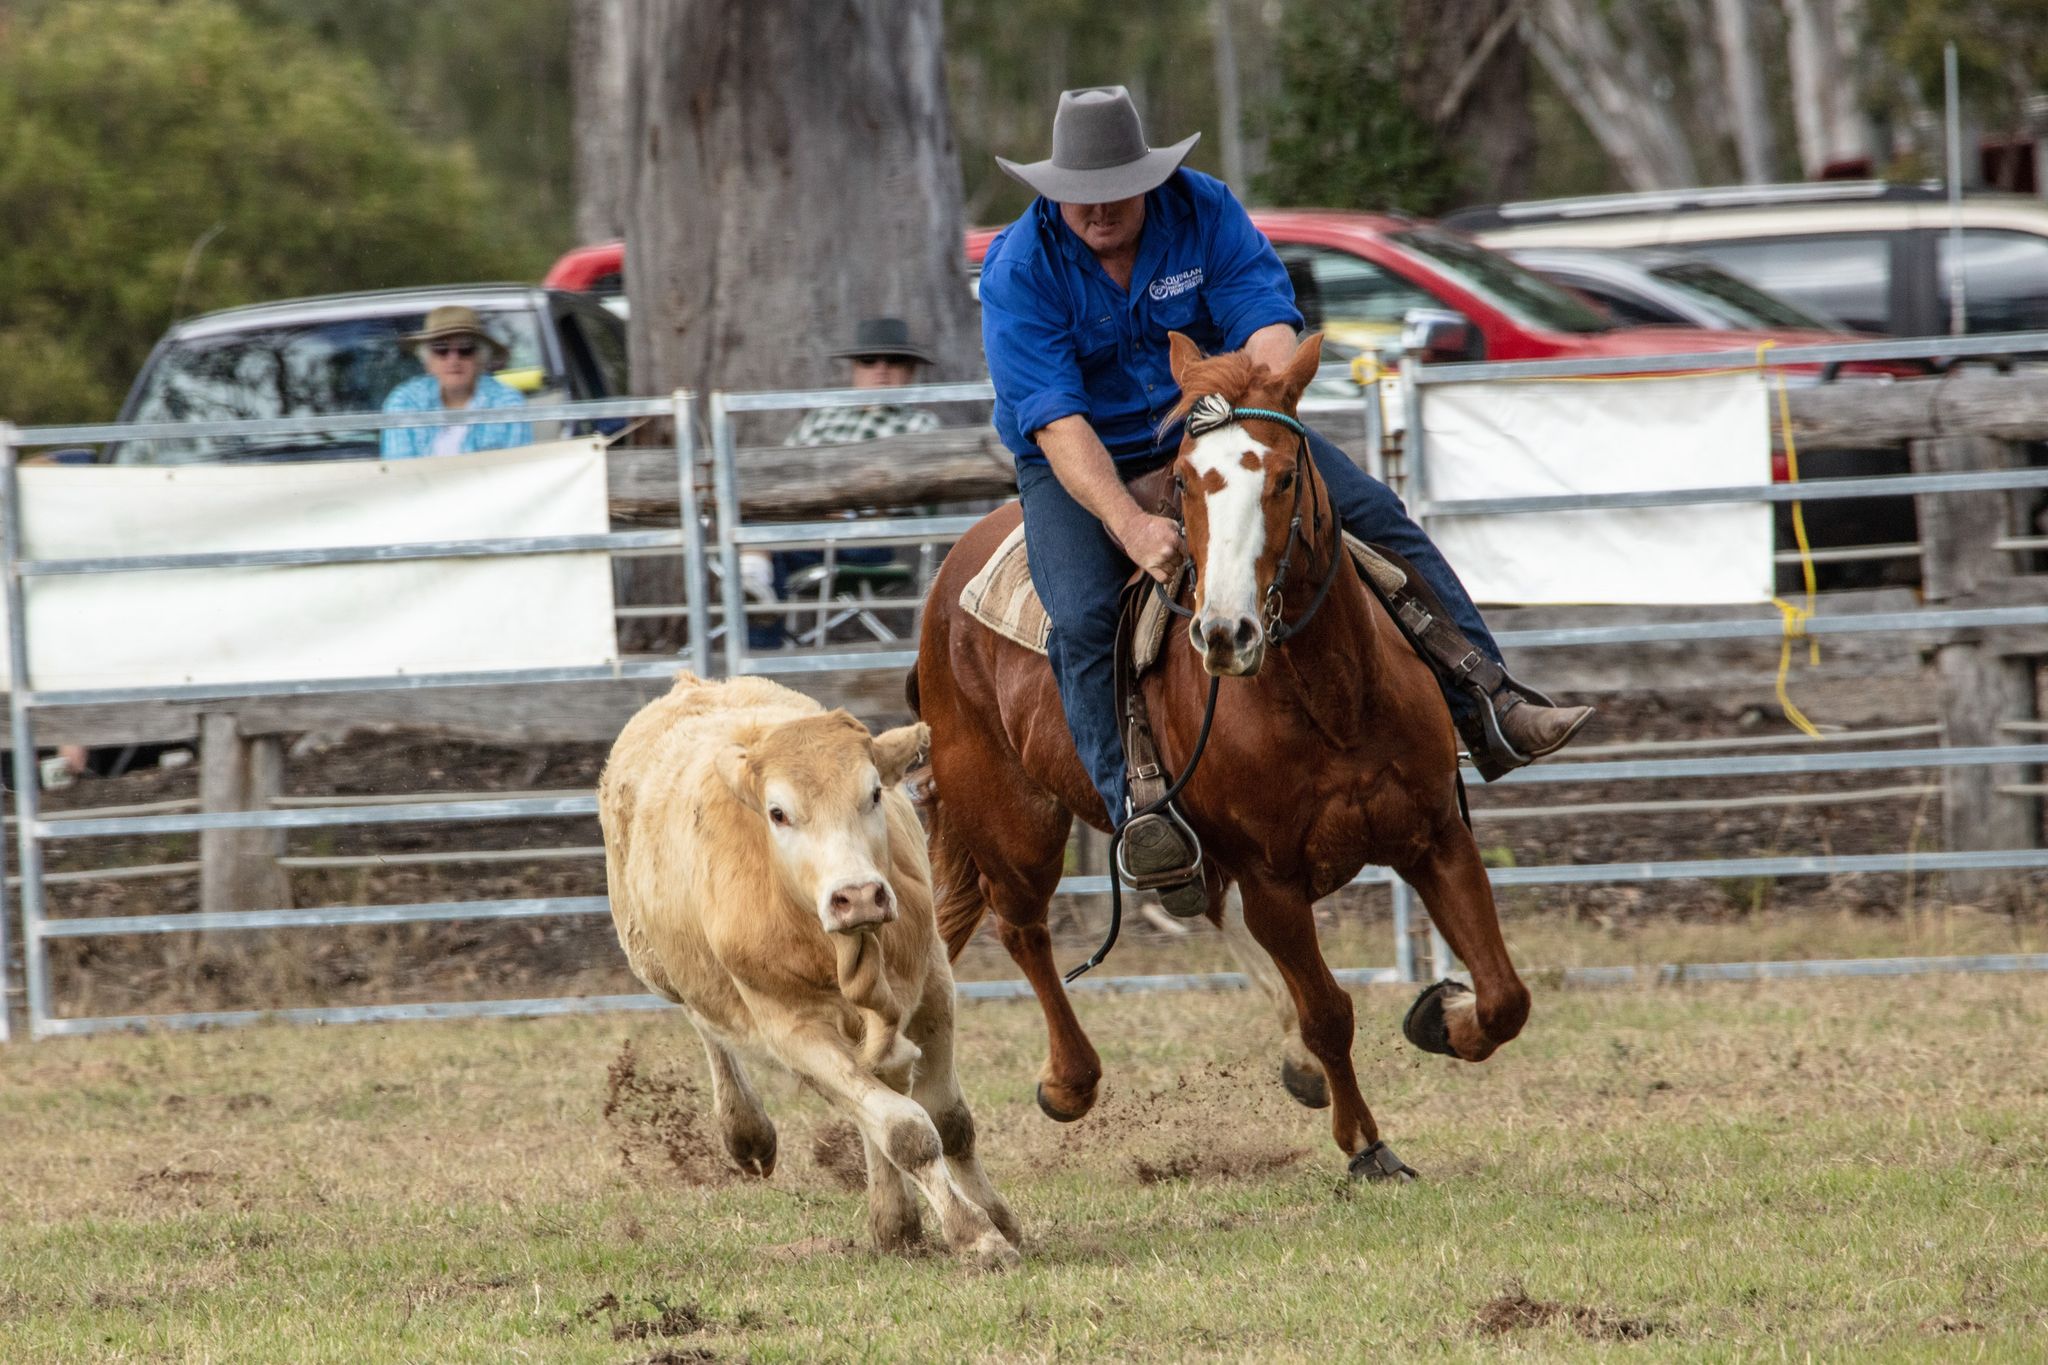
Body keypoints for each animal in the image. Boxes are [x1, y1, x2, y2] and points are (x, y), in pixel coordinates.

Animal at [598, 672, 1020, 1268]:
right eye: (778, 813)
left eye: (874, 793)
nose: (858, 895)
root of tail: (693, 686)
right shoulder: (791, 1027)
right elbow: (906, 1129)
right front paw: (973, 1233)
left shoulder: (934, 987)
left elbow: (949, 1120)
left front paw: (997, 1218)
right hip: (660, 965)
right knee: (708, 1023)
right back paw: (748, 1131)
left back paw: (895, 1219)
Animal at [909, 331, 1530, 1179]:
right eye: (1183, 481)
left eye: (1287, 473)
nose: (1225, 632)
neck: (1332, 698)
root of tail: (947, 582)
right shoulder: (1274, 881)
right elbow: (1331, 1011)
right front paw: (1366, 1145)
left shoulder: (1436, 834)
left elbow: (1504, 996)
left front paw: (1445, 1016)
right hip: (1011, 819)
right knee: (1021, 926)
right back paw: (1069, 1081)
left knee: (1195, 899)